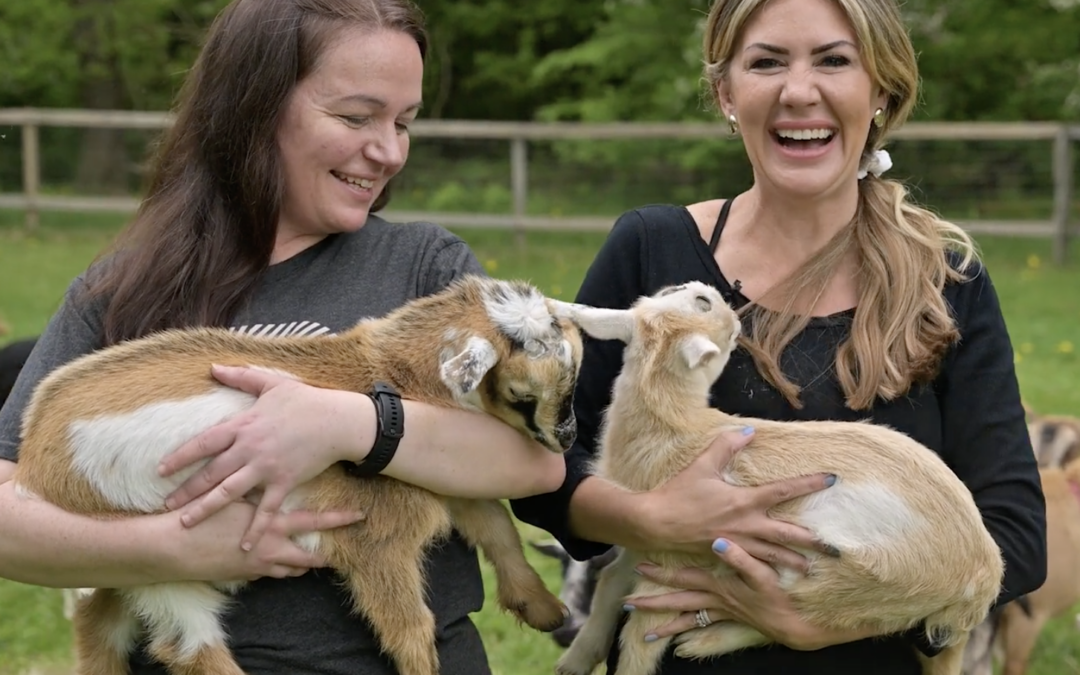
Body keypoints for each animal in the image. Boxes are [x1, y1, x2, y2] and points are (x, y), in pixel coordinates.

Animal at [10, 272, 583, 673]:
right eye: (522, 392)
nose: (567, 440)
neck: (394, 374)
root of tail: (35, 454)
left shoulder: (443, 475)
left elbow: (496, 525)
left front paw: (542, 608)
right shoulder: (374, 535)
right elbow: (410, 626)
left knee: (101, 628)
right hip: (154, 557)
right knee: (190, 648)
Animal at [552, 280, 1006, 673]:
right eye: (701, 302)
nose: (729, 311)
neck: (676, 423)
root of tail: (984, 575)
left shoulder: (672, 561)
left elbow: (640, 641)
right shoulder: (642, 539)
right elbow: (610, 586)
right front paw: (572, 663)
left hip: (849, 579)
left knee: (802, 621)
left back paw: (702, 642)